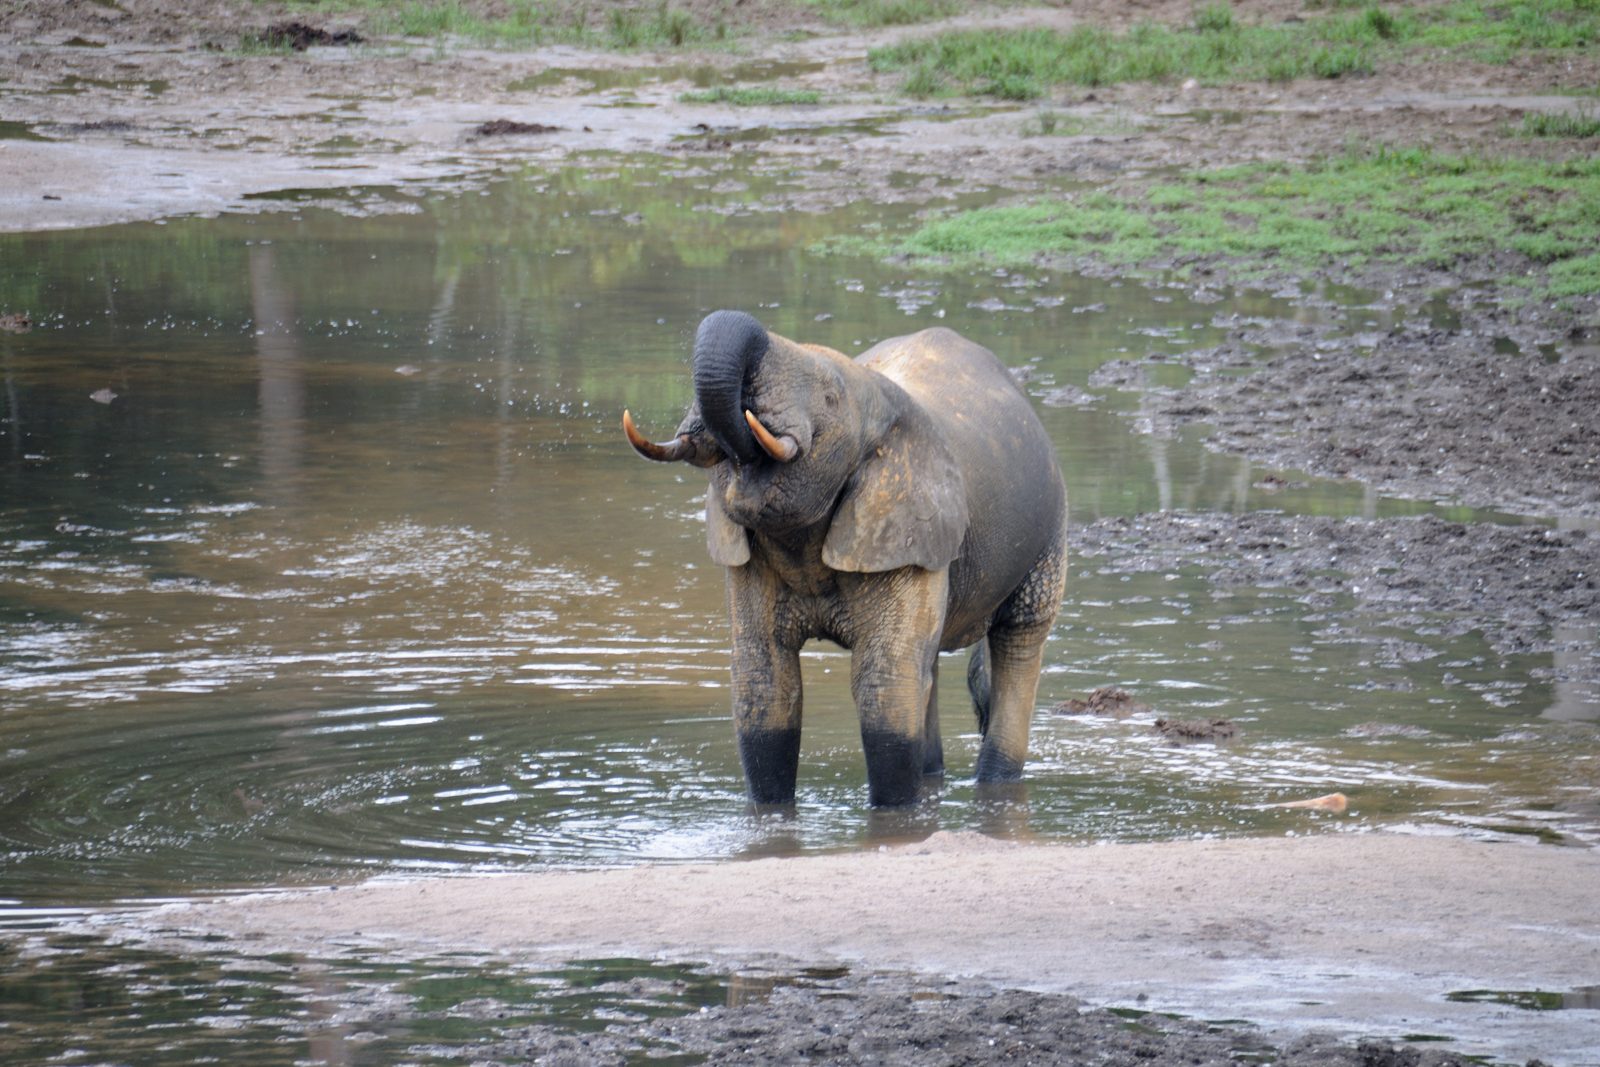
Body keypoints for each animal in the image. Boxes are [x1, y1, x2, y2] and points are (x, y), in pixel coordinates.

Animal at [624, 310, 1067, 807]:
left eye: (830, 399)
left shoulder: (903, 528)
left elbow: (882, 683)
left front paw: (896, 816)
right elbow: (764, 679)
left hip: (1049, 531)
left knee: (1019, 639)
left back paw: (995, 779)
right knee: (926, 664)